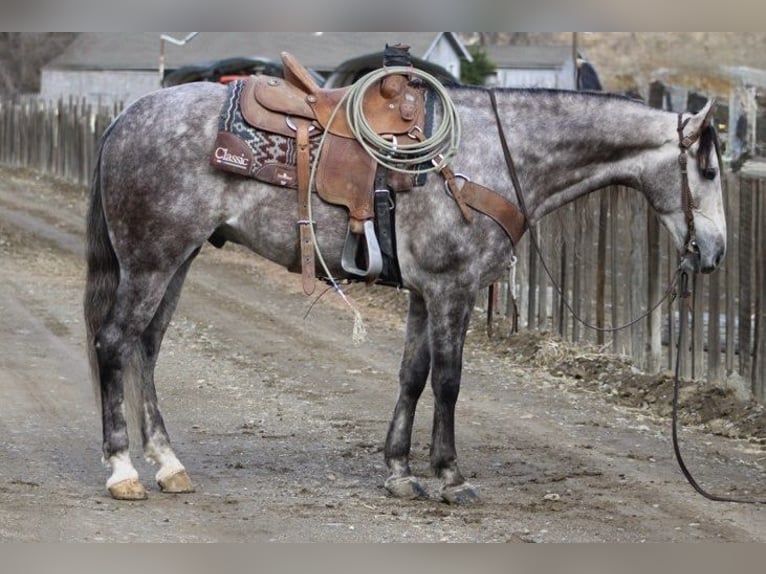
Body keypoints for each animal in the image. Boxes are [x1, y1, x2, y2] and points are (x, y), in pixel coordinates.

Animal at [84, 79, 726, 503]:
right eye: (710, 170)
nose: (714, 253)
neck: (494, 154)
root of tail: (125, 117)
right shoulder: (452, 289)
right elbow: (448, 381)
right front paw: (450, 475)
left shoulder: (423, 292)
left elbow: (413, 376)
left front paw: (399, 470)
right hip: (152, 260)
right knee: (116, 342)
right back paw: (122, 470)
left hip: (178, 258)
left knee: (147, 346)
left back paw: (168, 464)